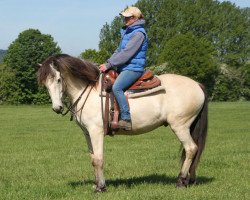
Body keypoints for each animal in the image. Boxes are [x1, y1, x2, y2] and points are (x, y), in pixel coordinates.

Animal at [37, 53, 208, 192]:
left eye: (58, 79)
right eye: (45, 83)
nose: (57, 108)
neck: (89, 90)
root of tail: (197, 85)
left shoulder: (96, 131)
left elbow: (99, 159)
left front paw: (100, 188)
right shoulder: (87, 133)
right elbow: (93, 159)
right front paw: (97, 184)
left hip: (180, 126)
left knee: (191, 149)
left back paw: (180, 182)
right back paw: (187, 180)